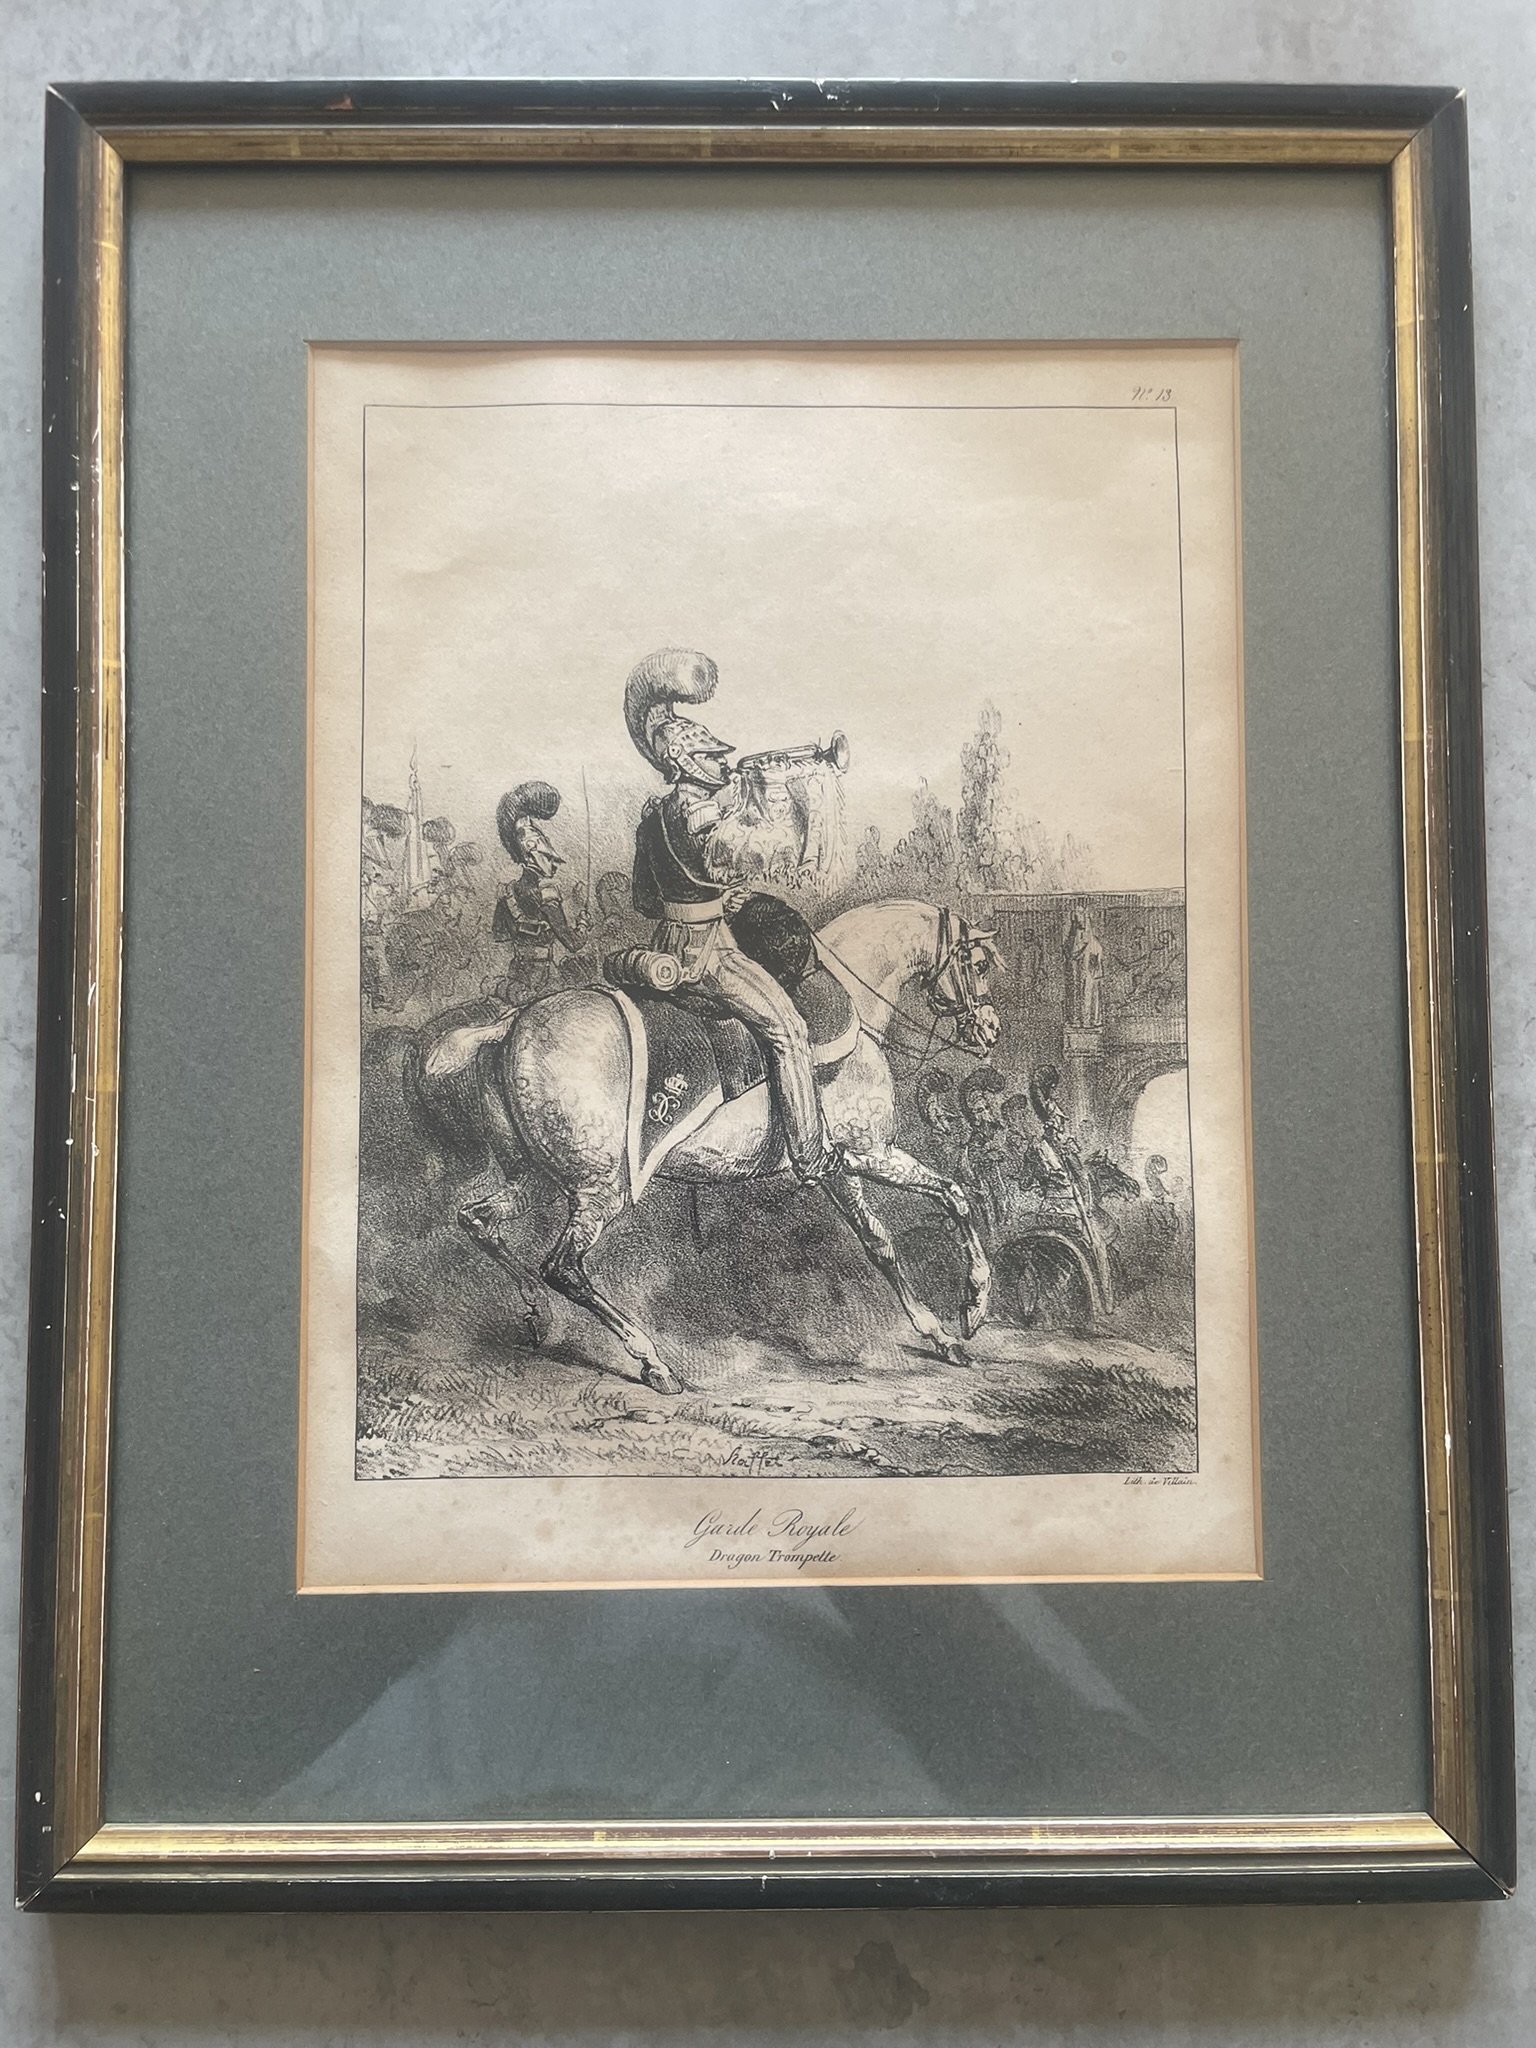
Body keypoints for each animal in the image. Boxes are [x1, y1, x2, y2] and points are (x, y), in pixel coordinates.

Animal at [408, 899, 1000, 1394]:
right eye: (979, 964)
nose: (992, 1031)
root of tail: (509, 1024)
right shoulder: (869, 1154)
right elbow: (954, 1196)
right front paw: (972, 1309)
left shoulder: (844, 1170)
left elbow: (880, 1242)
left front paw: (940, 1334)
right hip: (604, 1188)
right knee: (563, 1266)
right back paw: (653, 1361)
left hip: (540, 1178)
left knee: (479, 1220)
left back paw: (536, 1312)